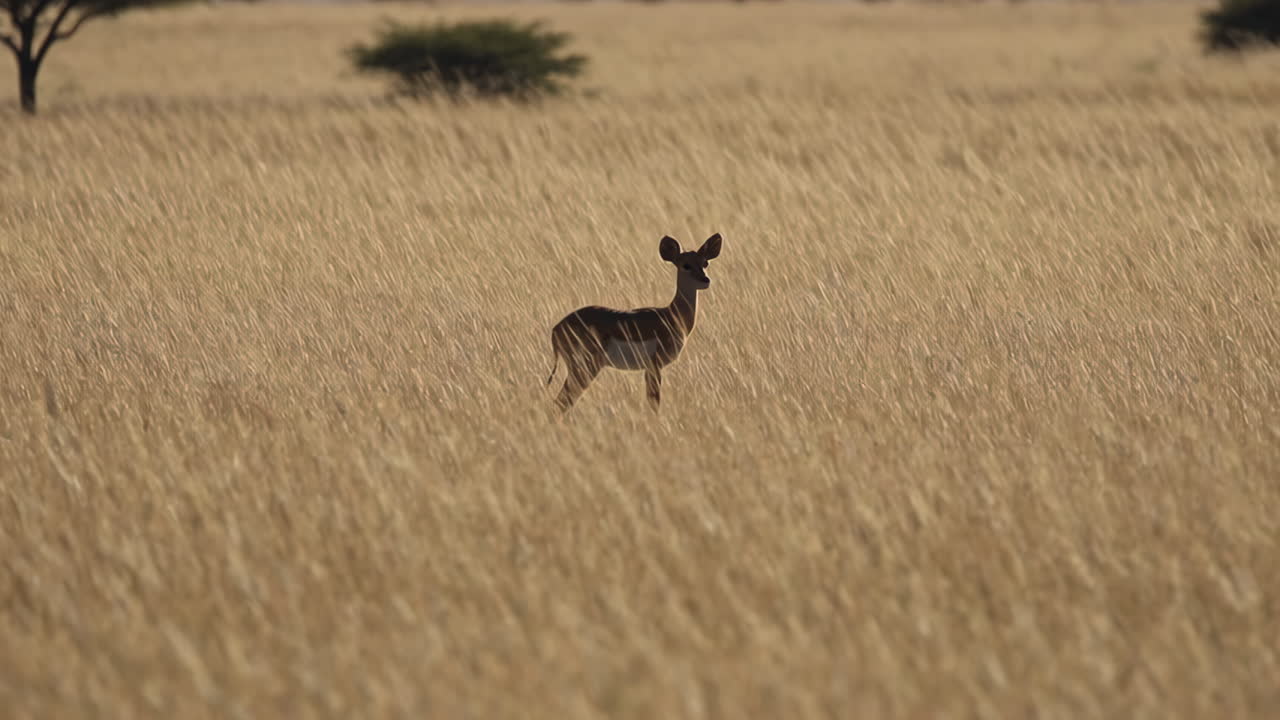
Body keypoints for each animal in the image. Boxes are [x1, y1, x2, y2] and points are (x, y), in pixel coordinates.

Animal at [546, 233, 723, 413]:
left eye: (705, 263)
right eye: (686, 265)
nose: (705, 280)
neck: (670, 315)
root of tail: (556, 329)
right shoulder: (653, 367)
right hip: (585, 369)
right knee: (561, 402)